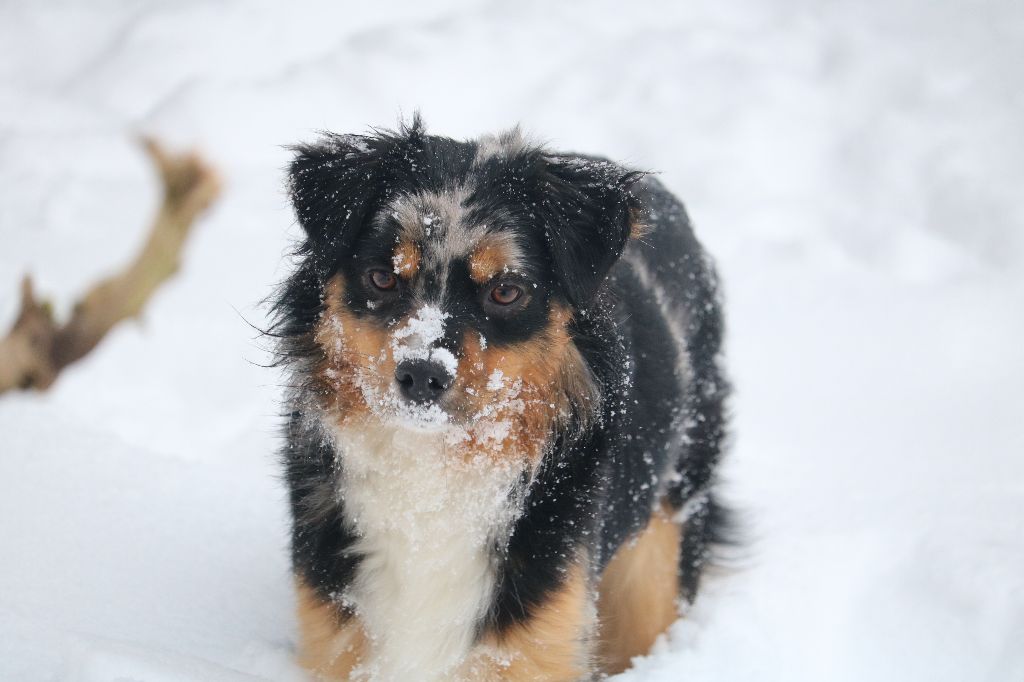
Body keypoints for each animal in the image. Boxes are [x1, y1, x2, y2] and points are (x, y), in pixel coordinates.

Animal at [272, 119, 733, 675]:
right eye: (382, 278)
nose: (421, 375)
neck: (431, 472)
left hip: (658, 550)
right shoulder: (335, 634)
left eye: (506, 291)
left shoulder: (538, 637)